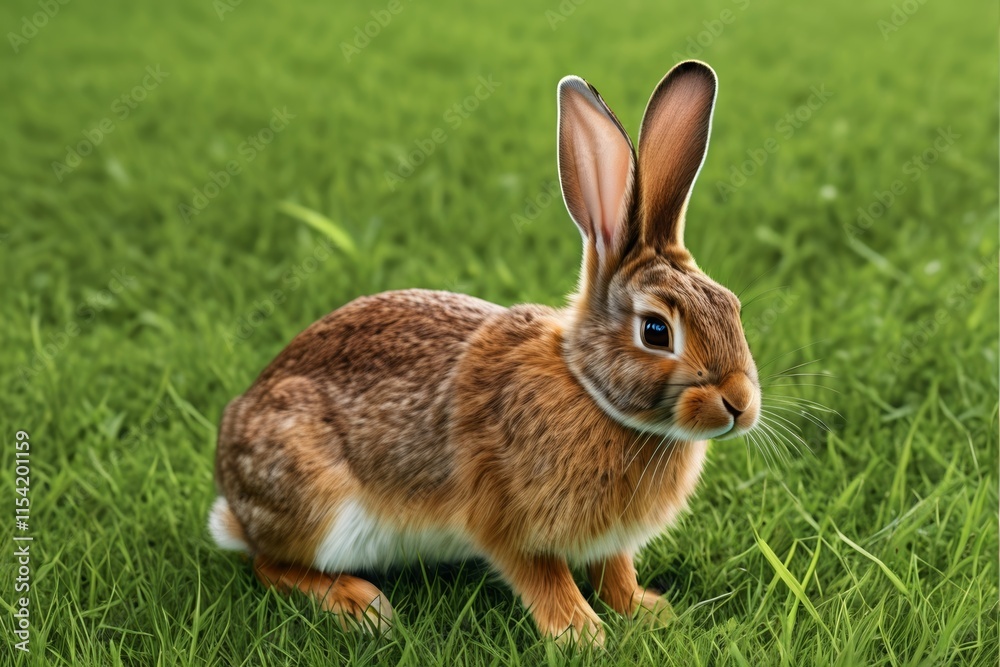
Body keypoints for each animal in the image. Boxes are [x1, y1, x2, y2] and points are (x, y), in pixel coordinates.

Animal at [209, 60, 761, 646]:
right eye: (656, 331)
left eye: (732, 306)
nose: (740, 404)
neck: (588, 388)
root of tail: (233, 500)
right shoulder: (505, 520)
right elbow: (544, 577)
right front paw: (581, 633)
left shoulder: (609, 541)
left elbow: (615, 571)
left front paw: (647, 610)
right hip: (318, 504)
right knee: (269, 563)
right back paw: (361, 605)